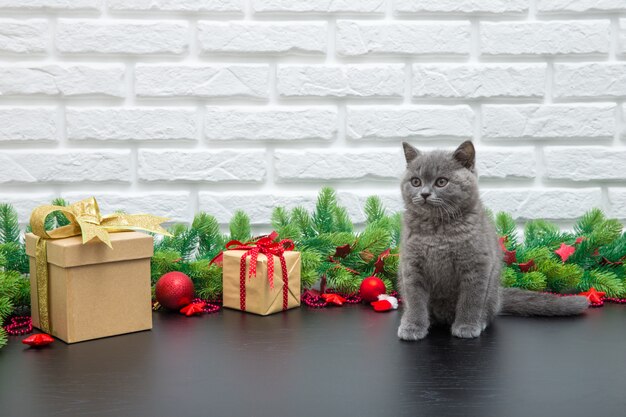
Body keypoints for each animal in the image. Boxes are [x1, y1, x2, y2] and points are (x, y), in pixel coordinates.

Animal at [398, 141, 588, 340]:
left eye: (441, 182)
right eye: (416, 181)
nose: (424, 193)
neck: (438, 231)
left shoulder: (477, 265)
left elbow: (471, 299)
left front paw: (466, 326)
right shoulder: (411, 265)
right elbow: (415, 300)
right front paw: (412, 327)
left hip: (491, 295)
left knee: (487, 311)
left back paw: (479, 322)